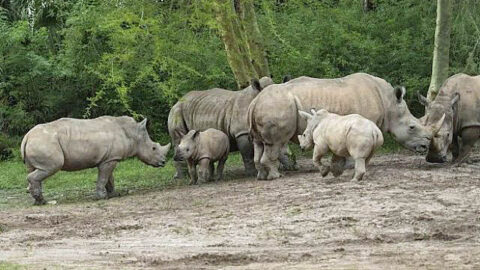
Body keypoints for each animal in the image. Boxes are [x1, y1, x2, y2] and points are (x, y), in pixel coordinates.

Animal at [20, 116, 171, 205]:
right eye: (153, 148)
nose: (163, 162)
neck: (133, 134)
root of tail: (27, 136)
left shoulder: (110, 158)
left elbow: (110, 178)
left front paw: (114, 194)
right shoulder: (110, 159)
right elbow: (104, 177)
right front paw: (102, 197)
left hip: (38, 142)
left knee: (34, 169)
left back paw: (39, 201)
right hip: (45, 143)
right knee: (51, 167)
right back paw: (43, 201)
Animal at [249, 73, 444, 180]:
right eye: (412, 127)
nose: (425, 146)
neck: (389, 103)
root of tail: (255, 100)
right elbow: (355, 148)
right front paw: (349, 166)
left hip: (266, 106)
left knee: (259, 143)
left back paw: (262, 176)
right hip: (277, 105)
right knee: (275, 143)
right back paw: (275, 176)